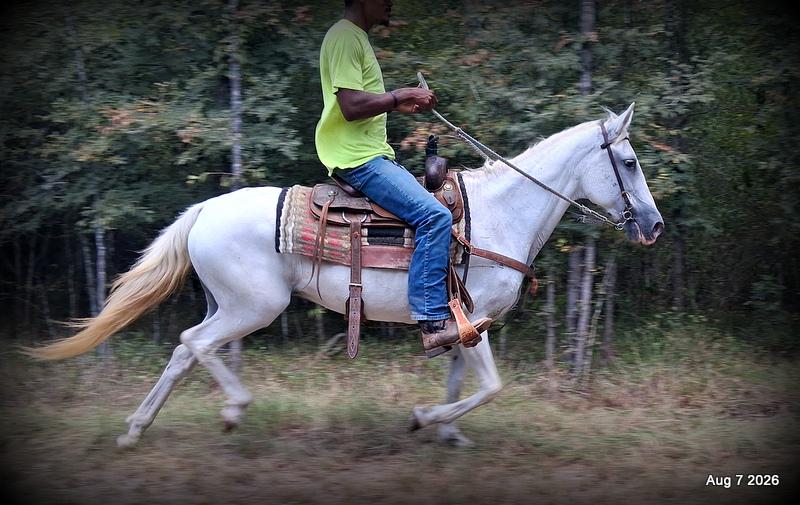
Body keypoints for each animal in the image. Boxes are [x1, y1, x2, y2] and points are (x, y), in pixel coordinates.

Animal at [29, 103, 663, 448]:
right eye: (630, 162)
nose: (654, 225)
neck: (500, 214)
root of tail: (203, 210)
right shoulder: (474, 316)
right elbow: (488, 387)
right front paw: (424, 419)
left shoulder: (461, 323)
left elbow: (461, 380)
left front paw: (447, 432)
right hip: (253, 306)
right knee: (195, 342)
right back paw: (232, 409)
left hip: (226, 303)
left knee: (185, 351)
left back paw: (136, 429)